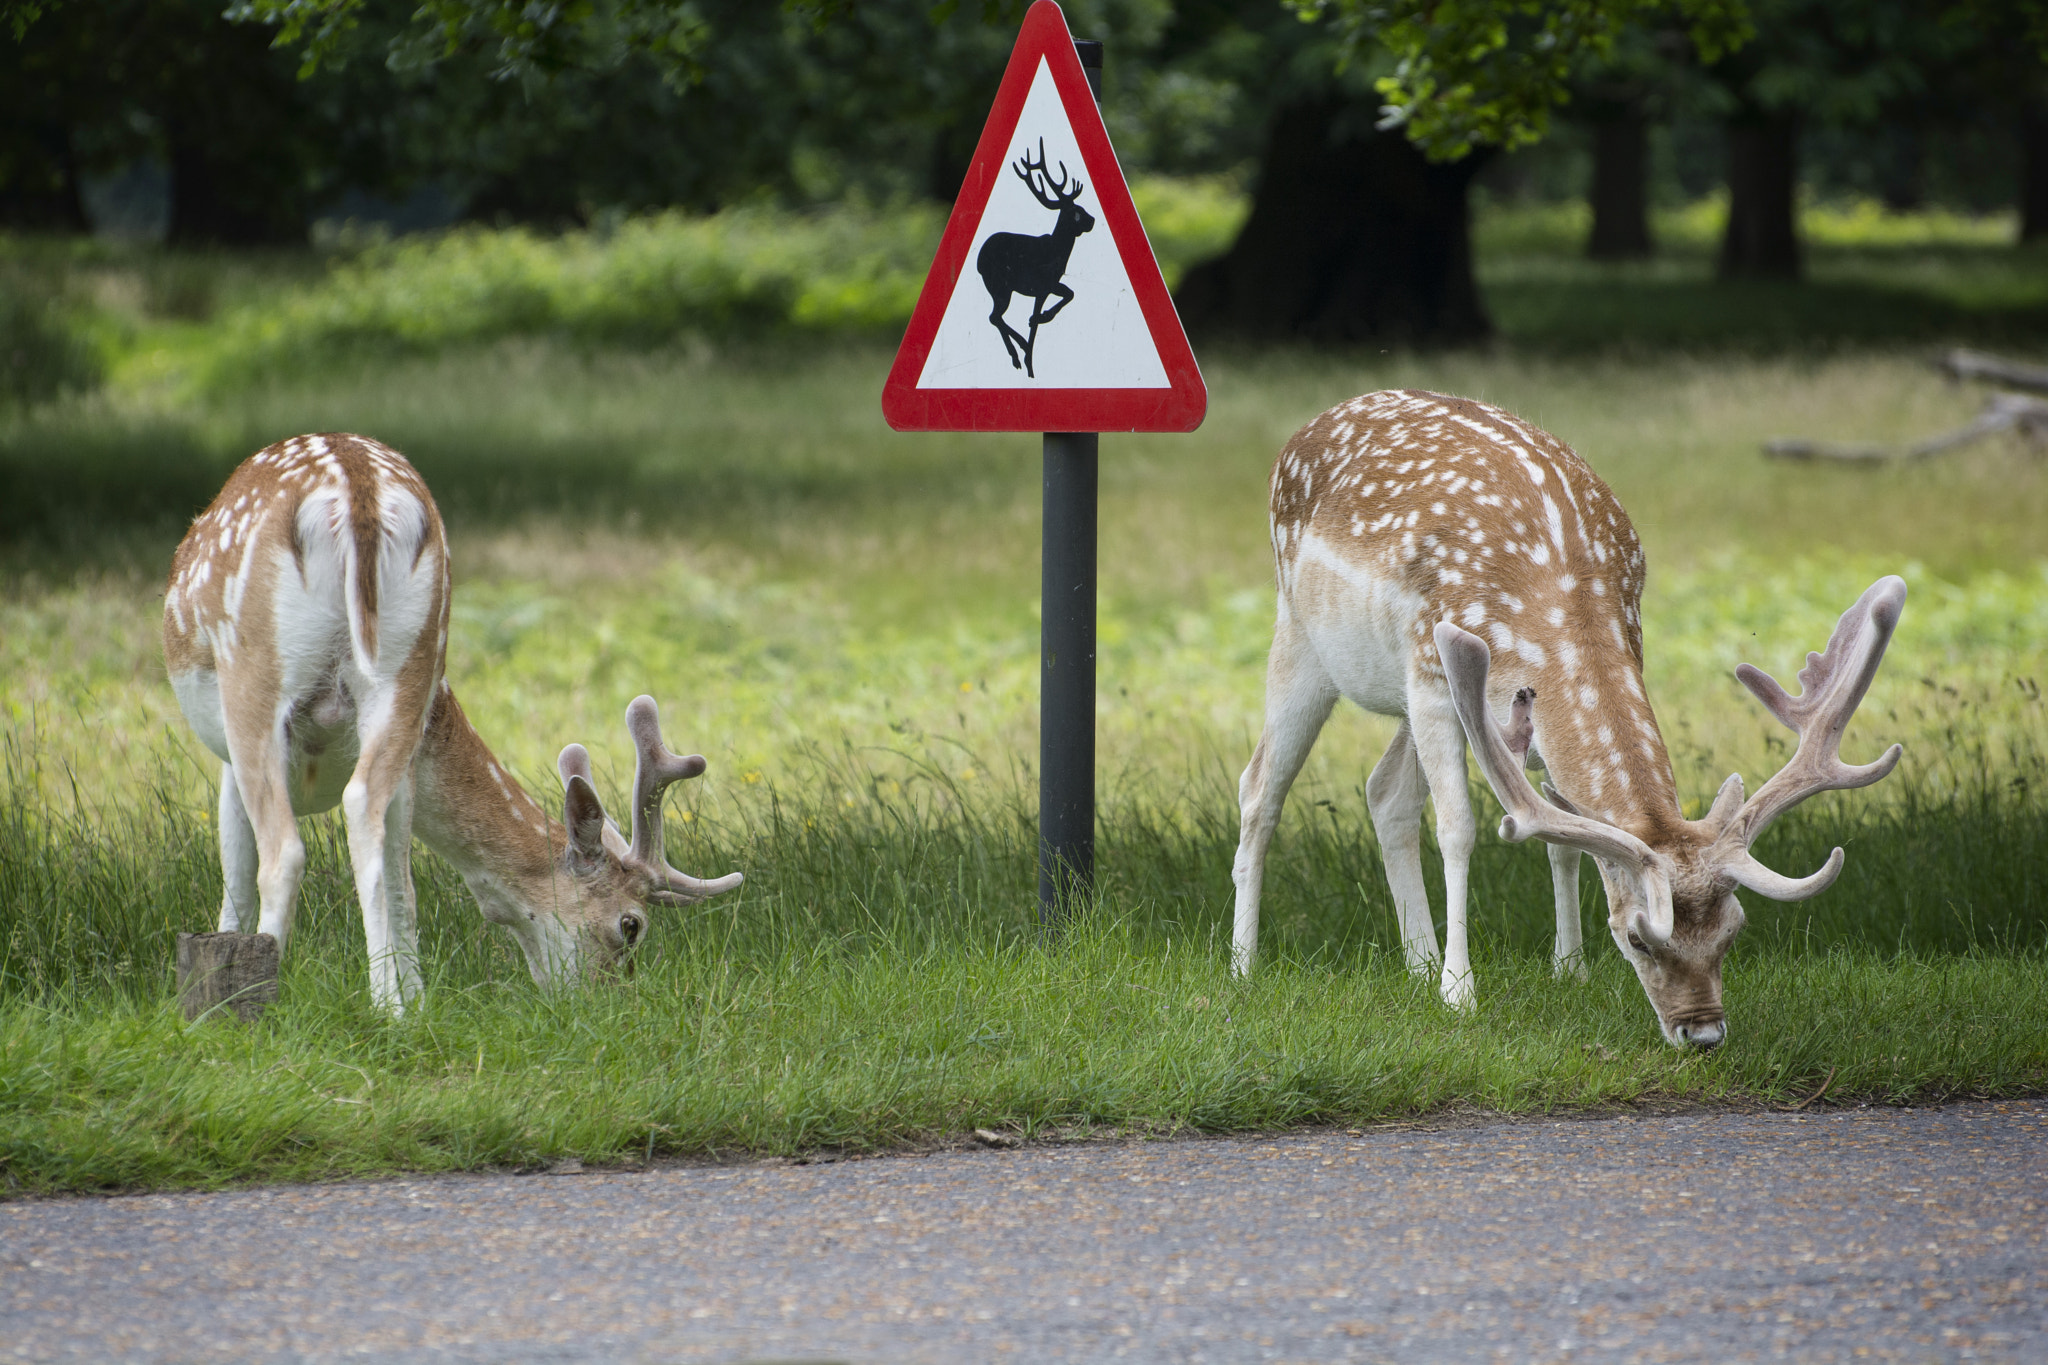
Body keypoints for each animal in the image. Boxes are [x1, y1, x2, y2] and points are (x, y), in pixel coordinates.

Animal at [162, 433, 743, 1013]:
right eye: (631, 926)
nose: (605, 1003)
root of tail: (357, 492)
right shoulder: (411, 759)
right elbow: (400, 881)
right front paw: (415, 1001)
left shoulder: (232, 756)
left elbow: (236, 869)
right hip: (406, 662)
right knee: (367, 820)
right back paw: (387, 1009)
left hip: (253, 671)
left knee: (287, 849)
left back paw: (272, 1004)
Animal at [976, 137, 1094, 378]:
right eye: (1077, 211)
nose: (1093, 220)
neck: (1058, 250)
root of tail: (979, 261)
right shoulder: (1044, 284)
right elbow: (1069, 294)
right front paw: (1038, 320)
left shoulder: (1046, 287)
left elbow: (1068, 294)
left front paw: (1037, 321)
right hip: (1001, 286)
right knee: (994, 316)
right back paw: (1019, 348)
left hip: (999, 288)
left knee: (994, 316)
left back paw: (1018, 356)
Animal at [1229, 389, 1905, 1047]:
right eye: (1638, 938)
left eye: (1733, 931)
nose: (1704, 1033)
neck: (1563, 597)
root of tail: (1304, 430)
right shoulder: (1431, 671)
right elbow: (1459, 828)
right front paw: (1460, 994)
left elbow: (1565, 842)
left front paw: (1569, 968)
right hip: (1302, 635)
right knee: (1260, 786)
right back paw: (1245, 965)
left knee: (1383, 790)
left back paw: (1417, 965)